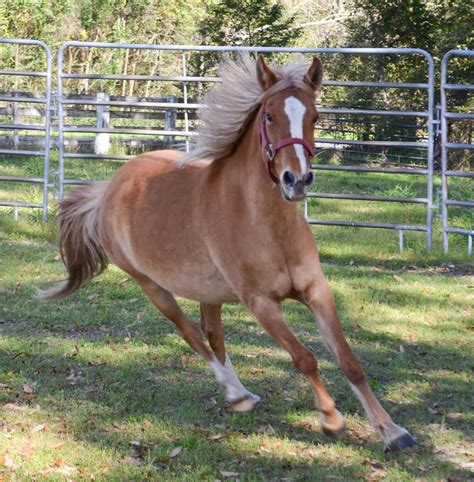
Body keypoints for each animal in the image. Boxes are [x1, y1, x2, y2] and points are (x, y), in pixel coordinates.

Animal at [42, 55, 416, 452]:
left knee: (213, 334)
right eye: (269, 116)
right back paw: (238, 394)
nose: (296, 181)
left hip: (209, 291)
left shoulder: (316, 291)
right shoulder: (261, 302)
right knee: (191, 334)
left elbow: (348, 360)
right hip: (152, 286)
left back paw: (242, 394)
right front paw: (331, 419)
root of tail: (109, 189)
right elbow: (305, 358)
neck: (266, 224)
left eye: (314, 116)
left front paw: (392, 431)